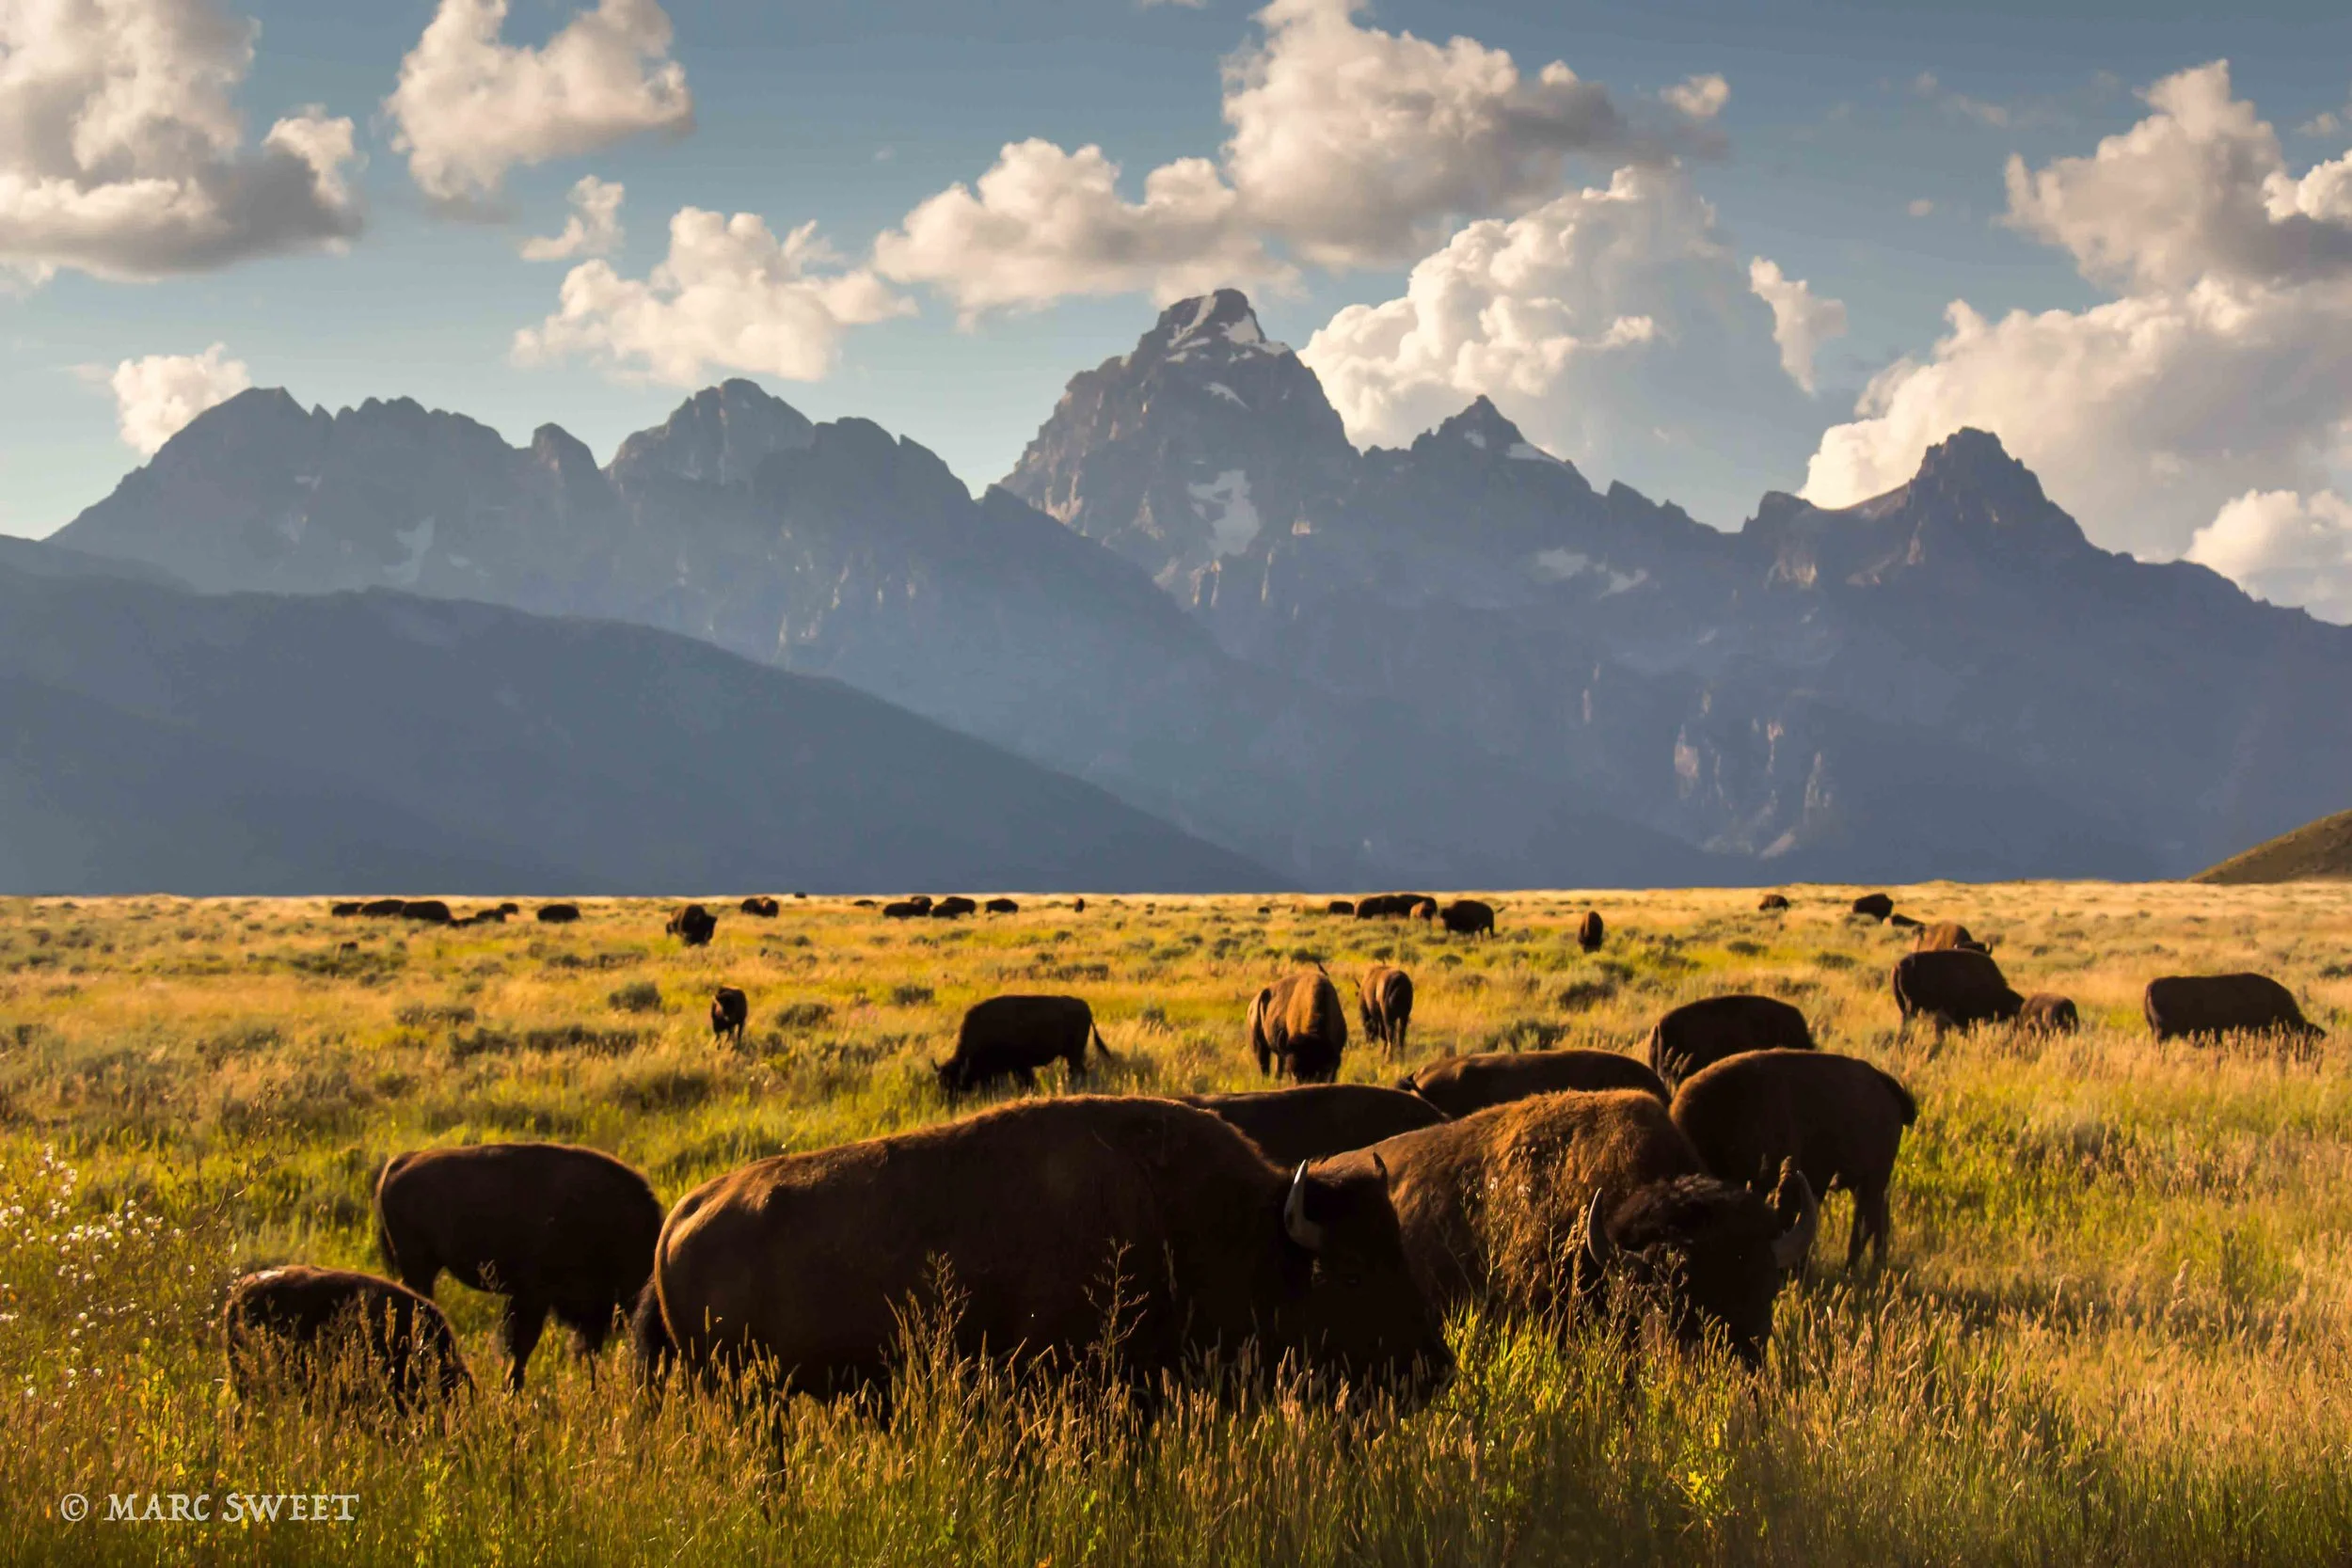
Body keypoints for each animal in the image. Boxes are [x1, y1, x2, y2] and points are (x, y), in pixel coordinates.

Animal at [935, 994, 1111, 1096]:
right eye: (941, 1083)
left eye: (954, 1083)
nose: (949, 1102)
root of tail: (1085, 1006)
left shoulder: (1018, 1066)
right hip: (1072, 1055)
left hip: (1074, 1054)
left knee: (1078, 1071)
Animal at [1671, 1050, 1918, 1272]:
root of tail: (1883, 1082)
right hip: (1866, 1184)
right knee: (1877, 1220)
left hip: (1871, 1181)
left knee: (1864, 1223)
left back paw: (1853, 1271)